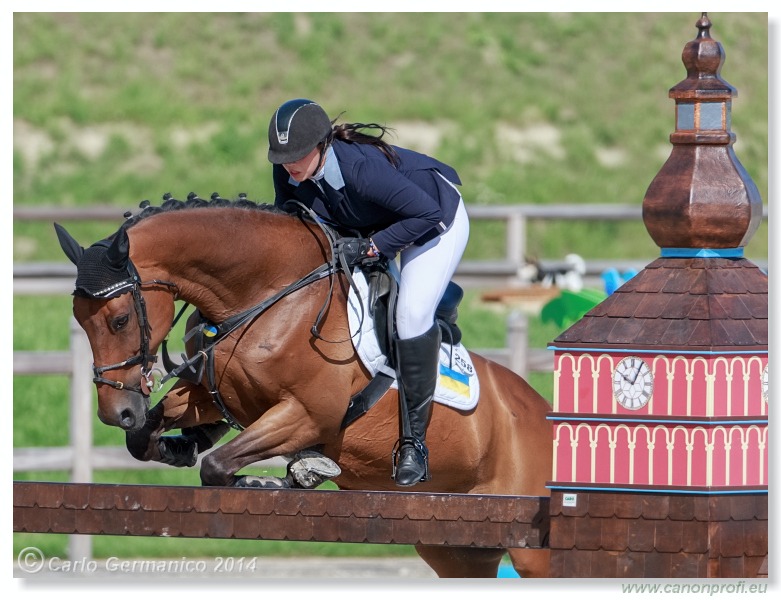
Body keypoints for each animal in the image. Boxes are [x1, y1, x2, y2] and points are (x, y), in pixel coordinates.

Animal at [54, 196, 552, 576]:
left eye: (120, 319)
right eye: (79, 319)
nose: (116, 412)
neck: (263, 294)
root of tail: (540, 409)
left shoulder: (308, 414)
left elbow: (217, 466)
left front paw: (280, 478)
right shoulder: (213, 394)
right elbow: (148, 440)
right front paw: (174, 446)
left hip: (531, 552)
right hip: (455, 547)